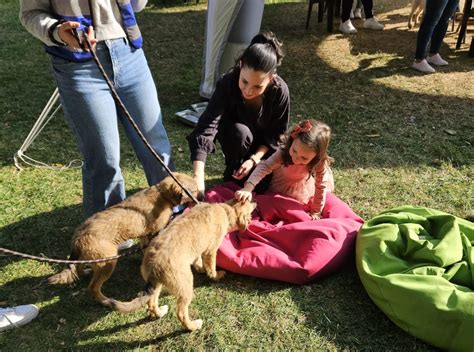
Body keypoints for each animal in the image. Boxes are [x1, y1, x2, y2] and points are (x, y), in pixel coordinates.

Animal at [49, 173, 201, 308]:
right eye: (194, 190)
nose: (201, 197)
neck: (161, 195)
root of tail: (78, 237)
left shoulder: (145, 234)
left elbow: (144, 248)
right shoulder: (154, 232)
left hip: (91, 257)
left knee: (79, 267)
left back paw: (86, 272)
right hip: (108, 261)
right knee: (93, 287)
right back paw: (105, 301)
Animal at [108, 199, 256, 332]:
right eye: (249, 203)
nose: (255, 202)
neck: (225, 209)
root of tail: (154, 264)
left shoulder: (198, 249)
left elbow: (198, 261)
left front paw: (200, 268)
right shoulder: (211, 250)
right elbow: (211, 267)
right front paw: (216, 275)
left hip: (157, 284)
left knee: (151, 303)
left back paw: (160, 312)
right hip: (185, 286)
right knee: (181, 313)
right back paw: (193, 326)